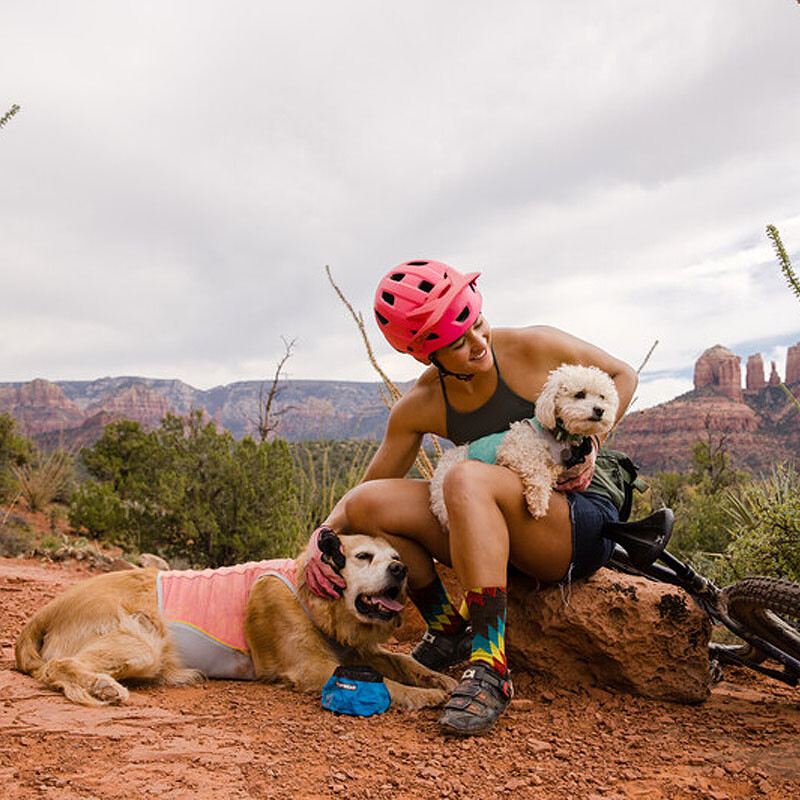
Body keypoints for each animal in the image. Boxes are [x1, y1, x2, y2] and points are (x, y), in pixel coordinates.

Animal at [432, 366, 620, 528]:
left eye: (602, 397)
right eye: (580, 394)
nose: (600, 410)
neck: (558, 434)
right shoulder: (514, 452)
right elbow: (538, 470)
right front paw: (539, 501)